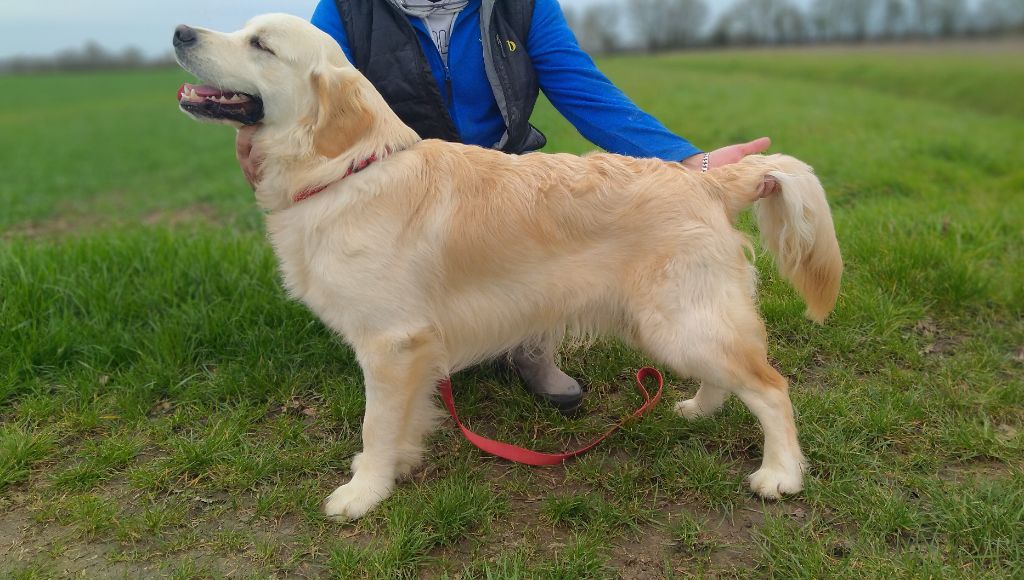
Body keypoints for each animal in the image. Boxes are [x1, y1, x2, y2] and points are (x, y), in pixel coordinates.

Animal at [174, 14, 839, 522]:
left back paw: (780, 474)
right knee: (729, 377)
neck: (346, 170)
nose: (180, 31)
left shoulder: (391, 343)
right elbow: (401, 421)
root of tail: (708, 181)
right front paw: (397, 465)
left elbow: (374, 425)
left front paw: (363, 493)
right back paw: (698, 409)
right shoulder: (412, 350)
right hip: (671, 323)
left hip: (682, 320)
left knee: (772, 388)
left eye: (261, 45)